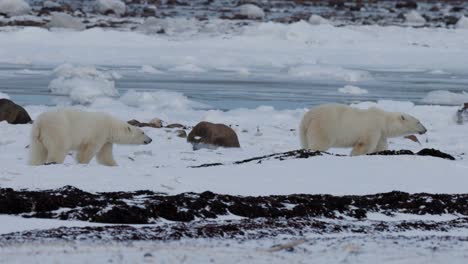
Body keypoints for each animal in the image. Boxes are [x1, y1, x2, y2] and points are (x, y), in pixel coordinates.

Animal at [300, 103, 428, 157]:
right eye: (418, 121)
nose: (425, 130)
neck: (384, 120)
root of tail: (308, 117)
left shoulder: (381, 134)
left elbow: (381, 146)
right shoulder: (373, 128)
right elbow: (365, 145)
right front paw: (355, 155)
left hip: (304, 131)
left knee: (305, 143)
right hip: (325, 127)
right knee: (320, 143)